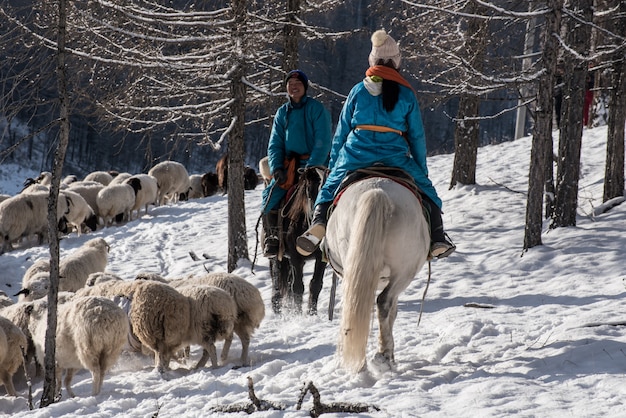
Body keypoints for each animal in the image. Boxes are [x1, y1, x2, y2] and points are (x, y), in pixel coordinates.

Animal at [322, 176, 428, 372]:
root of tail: (377, 189)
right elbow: (392, 313)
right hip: (404, 272)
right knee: (383, 302)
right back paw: (384, 356)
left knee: (355, 307)